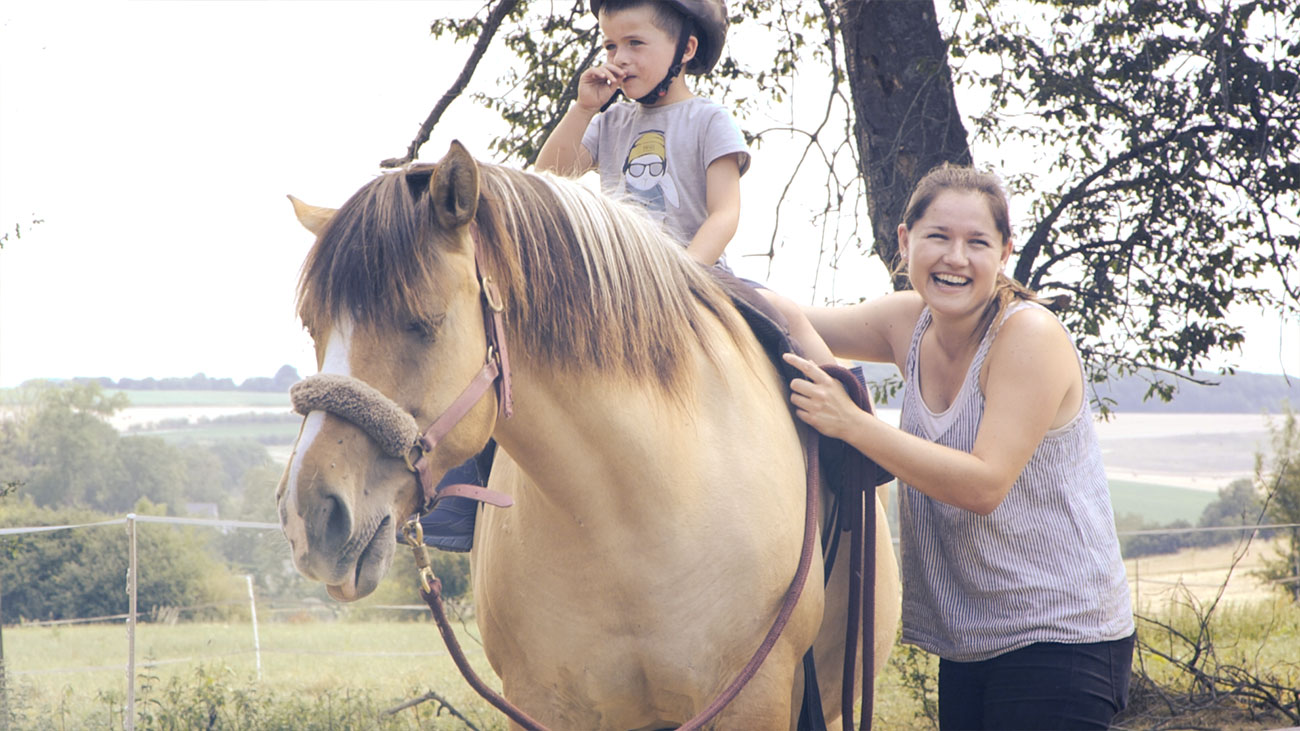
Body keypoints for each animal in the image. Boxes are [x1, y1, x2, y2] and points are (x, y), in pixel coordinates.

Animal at [278, 139, 899, 723]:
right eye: (313, 327)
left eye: (423, 322)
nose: (311, 518)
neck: (627, 517)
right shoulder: (544, 702)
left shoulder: (754, 699)